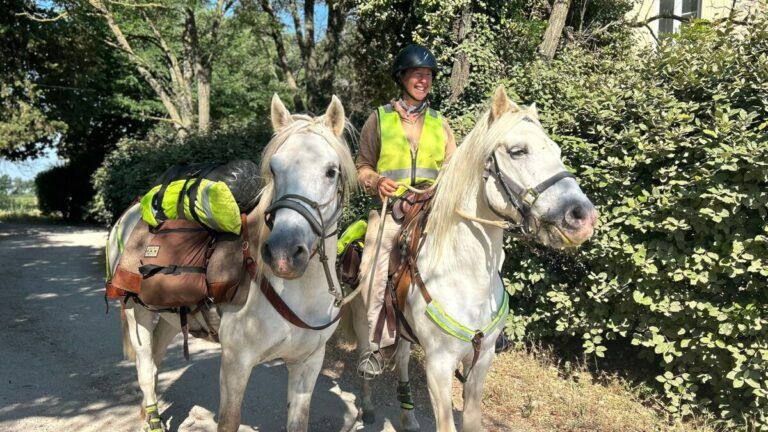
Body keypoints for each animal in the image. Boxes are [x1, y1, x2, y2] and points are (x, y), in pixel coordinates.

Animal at [106, 94, 357, 432]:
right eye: (274, 170)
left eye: (331, 171)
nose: (283, 253)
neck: (298, 294)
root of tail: (130, 213)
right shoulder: (236, 363)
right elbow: (229, 421)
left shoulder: (308, 363)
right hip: (137, 314)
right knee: (146, 369)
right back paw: (153, 419)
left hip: (170, 316)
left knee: (156, 360)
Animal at [348, 85, 598, 432]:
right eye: (518, 151)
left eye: (557, 151)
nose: (582, 217)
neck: (466, 277)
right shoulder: (438, 366)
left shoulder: (482, 360)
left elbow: (472, 420)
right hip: (364, 320)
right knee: (366, 356)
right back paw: (368, 406)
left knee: (401, 358)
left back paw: (408, 416)